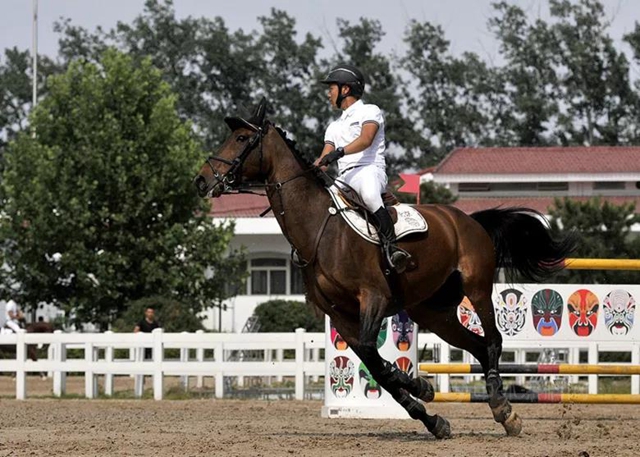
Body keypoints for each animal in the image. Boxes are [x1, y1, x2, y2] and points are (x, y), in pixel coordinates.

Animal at [194, 100, 576, 438]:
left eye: (242, 138)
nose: (201, 181)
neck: (320, 229)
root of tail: (467, 219)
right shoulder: (341, 314)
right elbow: (375, 364)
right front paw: (429, 408)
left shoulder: (373, 298)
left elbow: (374, 357)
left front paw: (419, 389)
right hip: (432, 311)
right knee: (478, 346)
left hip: (477, 287)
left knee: (494, 341)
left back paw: (503, 409)